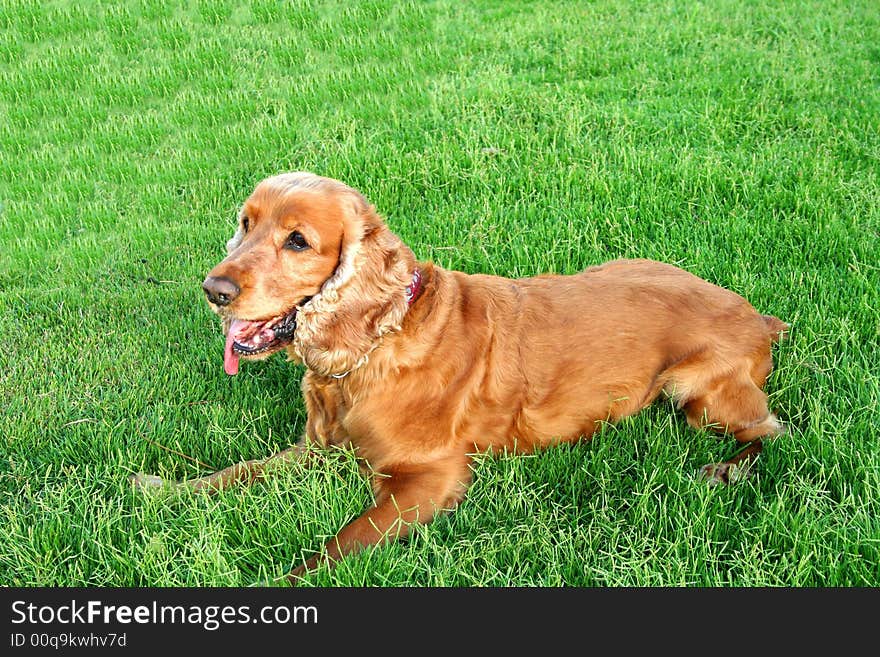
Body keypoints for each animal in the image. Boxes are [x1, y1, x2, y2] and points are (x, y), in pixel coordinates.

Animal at [132, 170, 792, 580]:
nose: (214, 291)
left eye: (298, 241)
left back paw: (725, 470)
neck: (374, 344)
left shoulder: (429, 477)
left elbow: (333, 548)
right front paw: (161, 489)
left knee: (772, 429)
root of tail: (760, 316)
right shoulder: (316, 447)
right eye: (245, 224)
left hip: (693, 387)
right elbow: (235, 473)